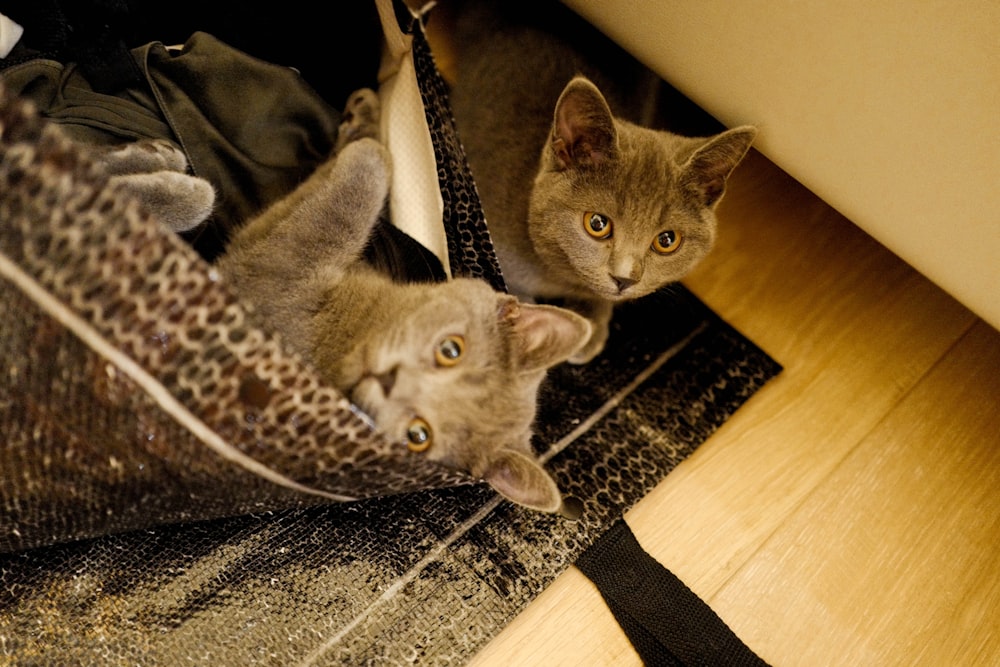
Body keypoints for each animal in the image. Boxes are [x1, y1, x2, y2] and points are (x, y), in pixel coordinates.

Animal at [102, 90, 592, 516]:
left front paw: (365, 145)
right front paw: (363, 118)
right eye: (451, 350)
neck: (356, 322)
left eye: (419, 435)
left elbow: (357, 184)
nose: (388, 381)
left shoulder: (273, 262)